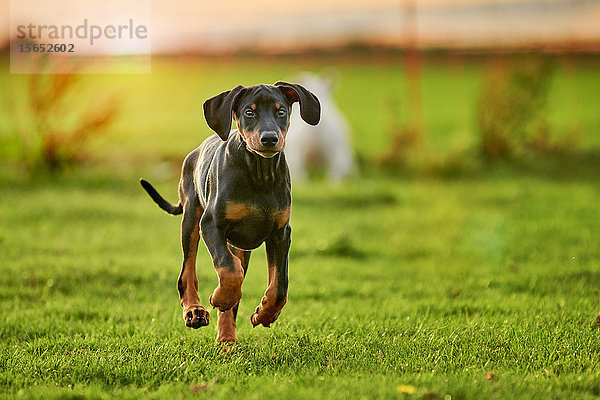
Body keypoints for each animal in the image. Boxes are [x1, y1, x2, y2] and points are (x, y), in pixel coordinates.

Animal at [141, 82, 322, 344]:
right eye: (249, 112)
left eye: (281, 111)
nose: (270, 139)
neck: (258, 172)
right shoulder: (211, 224)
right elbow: (228, 268)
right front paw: (220, 298)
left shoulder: (280, 233)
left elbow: (280, 286)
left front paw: (265, 313)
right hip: (191, 219)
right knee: (188, 271)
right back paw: (194, 311)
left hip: (240, 245)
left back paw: (227, 338)